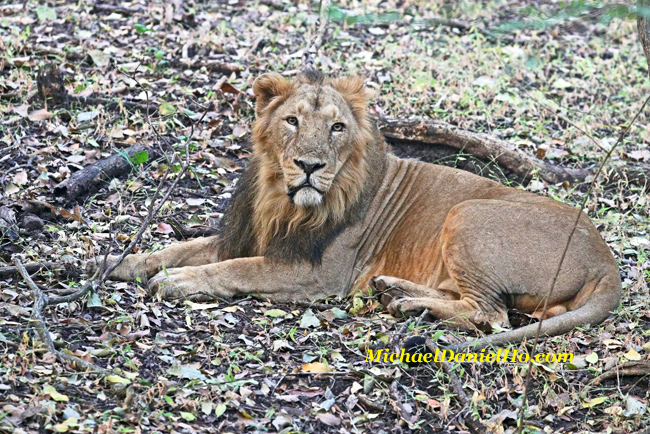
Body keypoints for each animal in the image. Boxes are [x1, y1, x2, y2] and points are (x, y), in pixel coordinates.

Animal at [90, 69, 616, 350]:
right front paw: (110, 262)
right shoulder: (247, 236)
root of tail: (607, 261)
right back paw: (394, 291)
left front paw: (178, 283)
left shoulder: (317, 273)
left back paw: (406, 303)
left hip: (468, 213)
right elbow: (176, 248)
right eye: (292, 121)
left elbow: (236, 269)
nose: (309, 165)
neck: (281, 199)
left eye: (337, 128)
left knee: (492, 314)